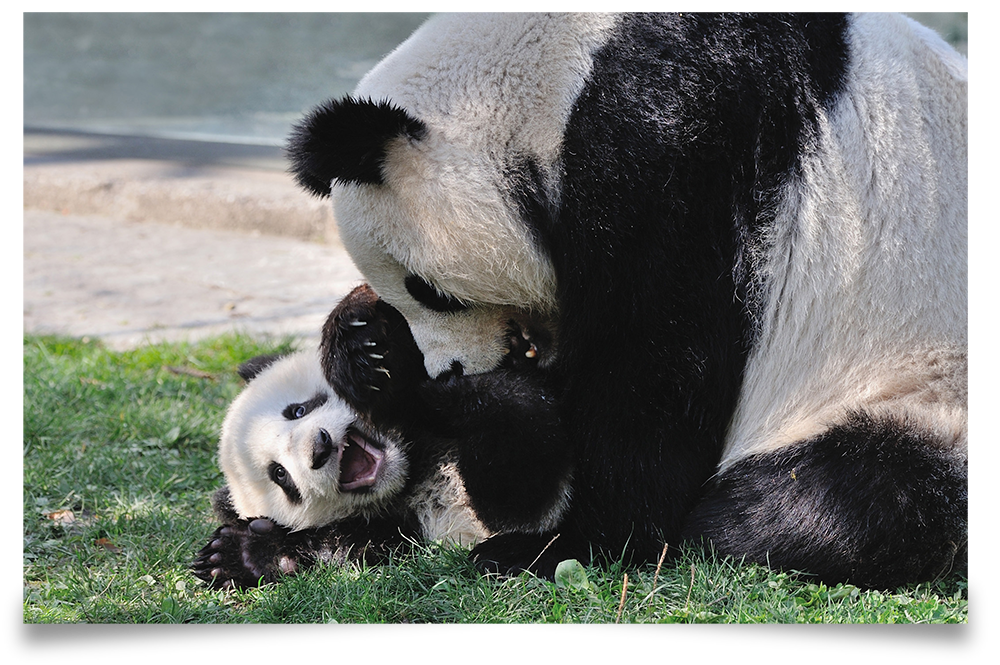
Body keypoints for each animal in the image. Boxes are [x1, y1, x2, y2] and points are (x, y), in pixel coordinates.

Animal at [286, 14, 964, 588]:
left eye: (432, 289)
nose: (450, 369)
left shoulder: (672, 145)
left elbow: (653, 365)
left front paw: (565, 544)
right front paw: (368, 346)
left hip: (909, 386)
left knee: (844, 501)